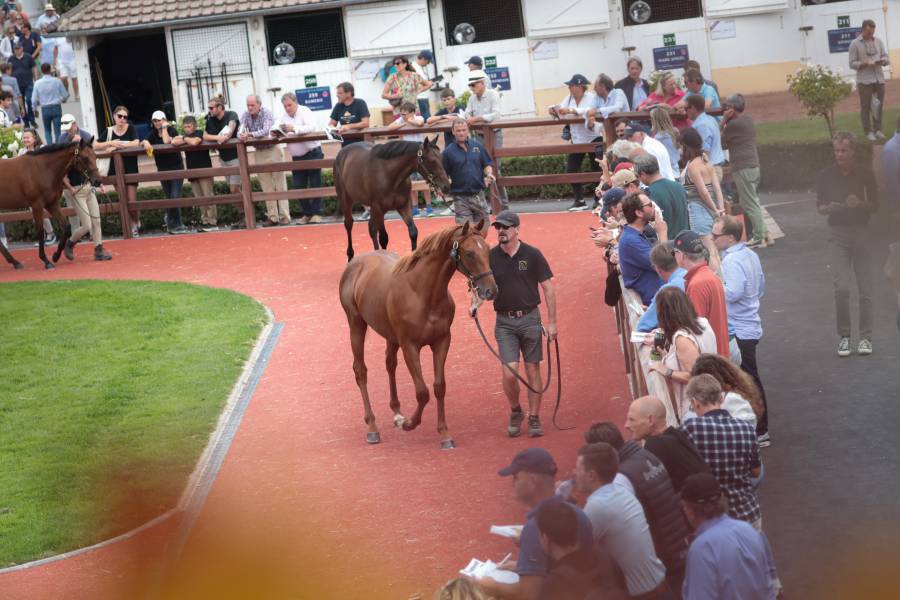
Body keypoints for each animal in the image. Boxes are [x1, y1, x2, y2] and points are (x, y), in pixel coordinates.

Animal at [0, 138, 103, 270]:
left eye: (95, 156)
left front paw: (56, 256)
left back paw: (15, 262)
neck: (42, 169)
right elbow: (40, 231)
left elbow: (66, 227)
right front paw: (46, 260)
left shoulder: (52, 204)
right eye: (85, 158)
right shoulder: (37, 205)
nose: (98, 181)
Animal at [340, 218, 500, 448]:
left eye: (487, 249)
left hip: (390, 336)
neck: (422, 292)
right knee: (360, 370)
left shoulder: (442, 341)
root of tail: (356, 262)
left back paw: (397, 412)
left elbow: (439, 387)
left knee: (390, 364)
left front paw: (444, 434)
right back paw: (372, 427)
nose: (491, 290)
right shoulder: (409, 346)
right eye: (469, 253)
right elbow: (422, 392)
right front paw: (410, 424)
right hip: (356, 324)